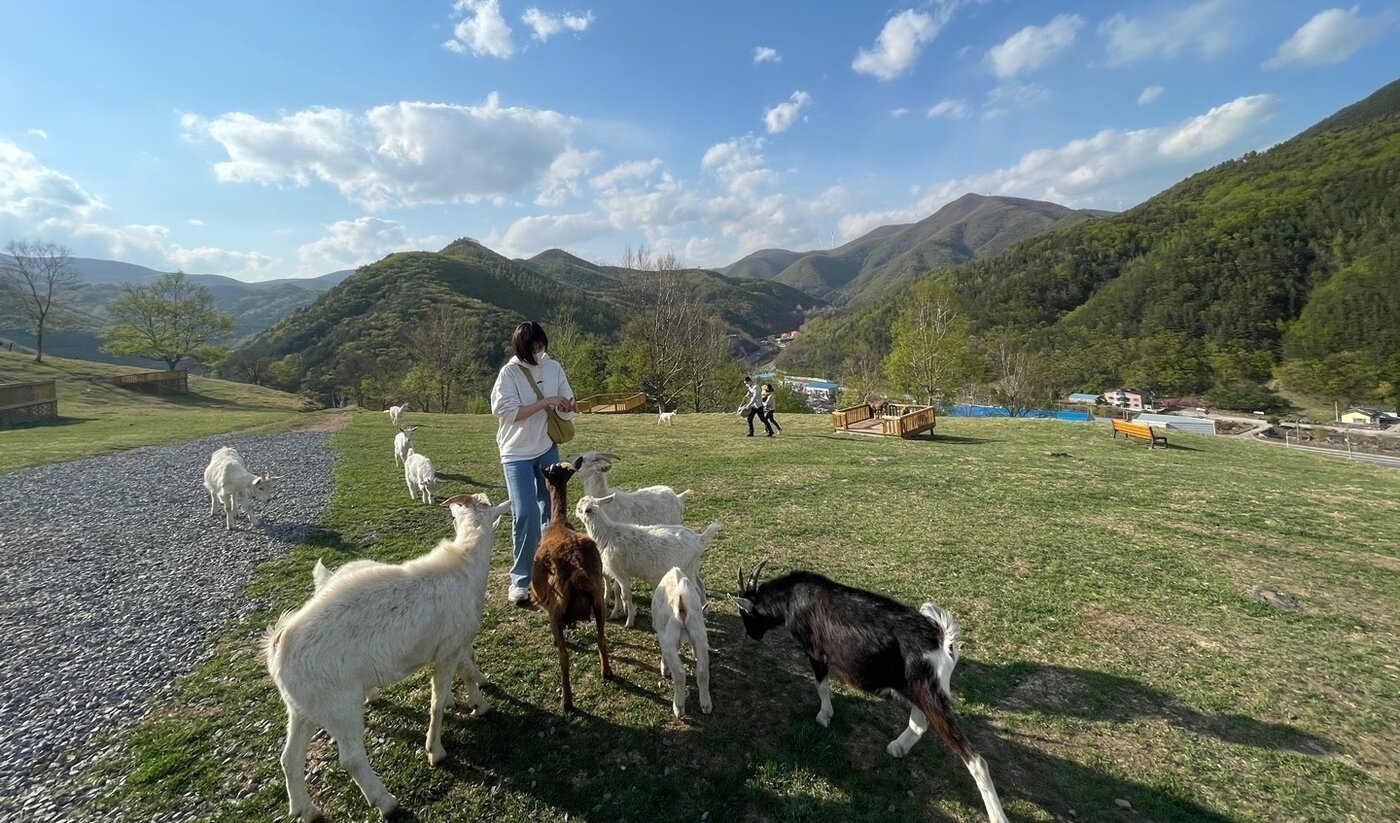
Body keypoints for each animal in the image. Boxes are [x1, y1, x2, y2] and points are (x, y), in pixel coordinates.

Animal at [264, 492, 512, 817]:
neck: (465, 563)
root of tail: (279, 645)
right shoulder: (449, 647)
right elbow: (440, 698)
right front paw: (437, 749)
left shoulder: (451, 646)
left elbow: (466, 671)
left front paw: (476, 701)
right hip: (339, 703)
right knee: (351, 758)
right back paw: (386, 802)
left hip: (303, 706)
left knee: (289, 758)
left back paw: (305, 810)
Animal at [529, 459, 613, 711]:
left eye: (547, 476)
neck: (558, 523)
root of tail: (577, 571)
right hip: (598, 600)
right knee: (601, 638)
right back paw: (606, 672)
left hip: (556, 609)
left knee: (564, 658)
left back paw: (566, 701)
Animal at [574, 492, 722, 627]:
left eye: (579, 508)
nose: (574, 511)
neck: (607, 535)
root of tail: (699, 539)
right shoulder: (618, 570)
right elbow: (618, 592)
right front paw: (617, 612)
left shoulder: (620, 571)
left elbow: (626, 595)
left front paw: (629, 621)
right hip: (692, 566)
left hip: (687, 568)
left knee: (695, 591)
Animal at [646, 568, 705, 716]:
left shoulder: (663, 634)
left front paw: (664, 668)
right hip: (699, 633)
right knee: (702, 671)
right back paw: (706, 705)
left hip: (670, 636)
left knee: (679, 674)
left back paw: (678, 708)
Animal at [733, 565, 1008, 823]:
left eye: (745, 614)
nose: (751, 635)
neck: (792, 597)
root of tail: (943, 641)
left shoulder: (816, 653)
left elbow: (821, 685)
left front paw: (824, 716)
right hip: (918, 692)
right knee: (919, 724)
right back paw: (897, 748)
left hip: (930, 695)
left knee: (975, 760)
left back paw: (997, 816)